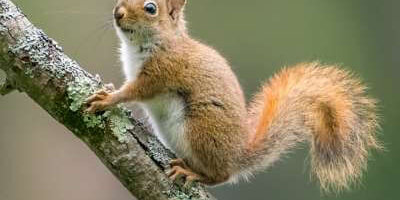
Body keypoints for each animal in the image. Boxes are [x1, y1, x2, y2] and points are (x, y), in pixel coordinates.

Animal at [85, 0, 382, 191]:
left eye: (150, 8)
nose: (117, 12)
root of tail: (238, 155)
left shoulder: (162, 72)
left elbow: (135, 91)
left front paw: (107, 99)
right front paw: (109, 88)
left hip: (200, 129)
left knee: (222, 175)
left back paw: (192, 172)